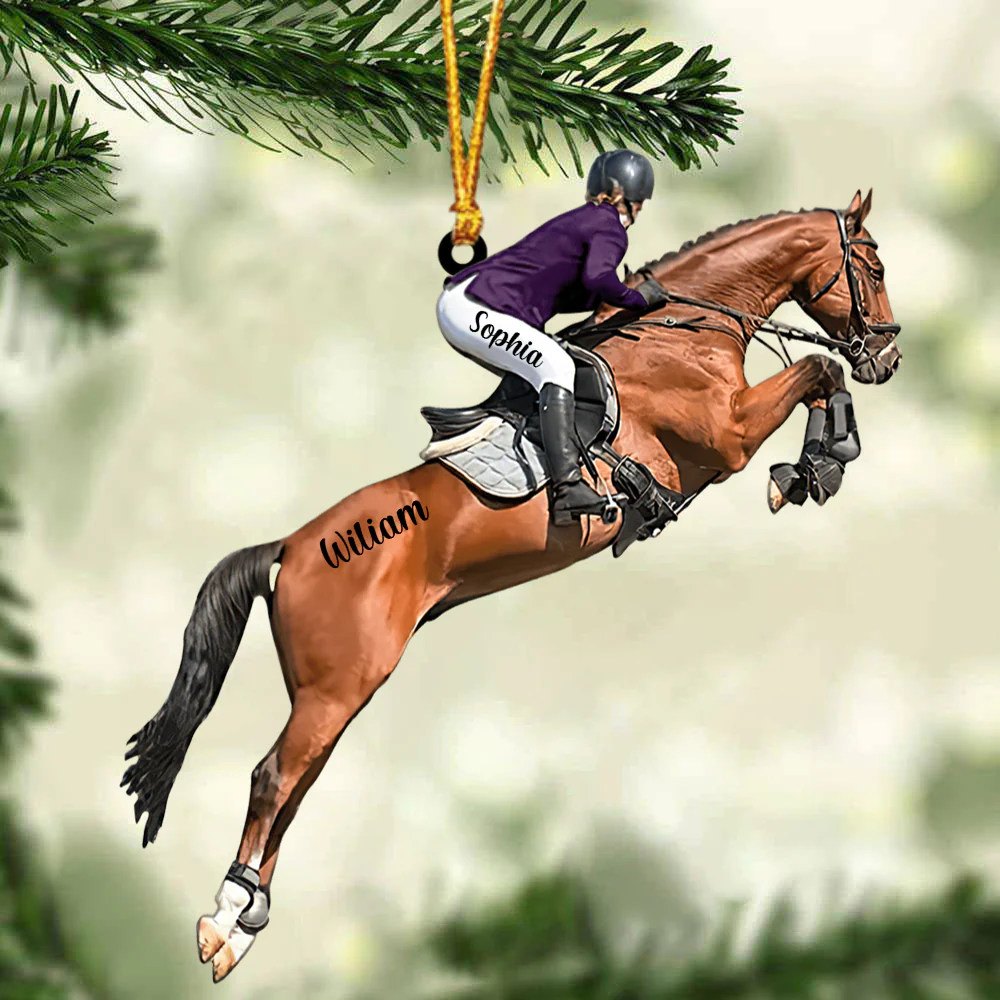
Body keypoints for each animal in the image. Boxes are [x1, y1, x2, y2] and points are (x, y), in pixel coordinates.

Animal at [121, 189, 900, 982]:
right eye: (873, 267)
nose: (889, 356)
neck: (685, 330)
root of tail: (289, 547)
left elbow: (820, 378)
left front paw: (815, 467)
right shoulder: (729, 434)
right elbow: (817, 371)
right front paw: (814, 465)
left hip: (336, 692)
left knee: (297, 785)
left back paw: (248, 925)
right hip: (338, 684)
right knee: (273, 778)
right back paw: (223, 922)